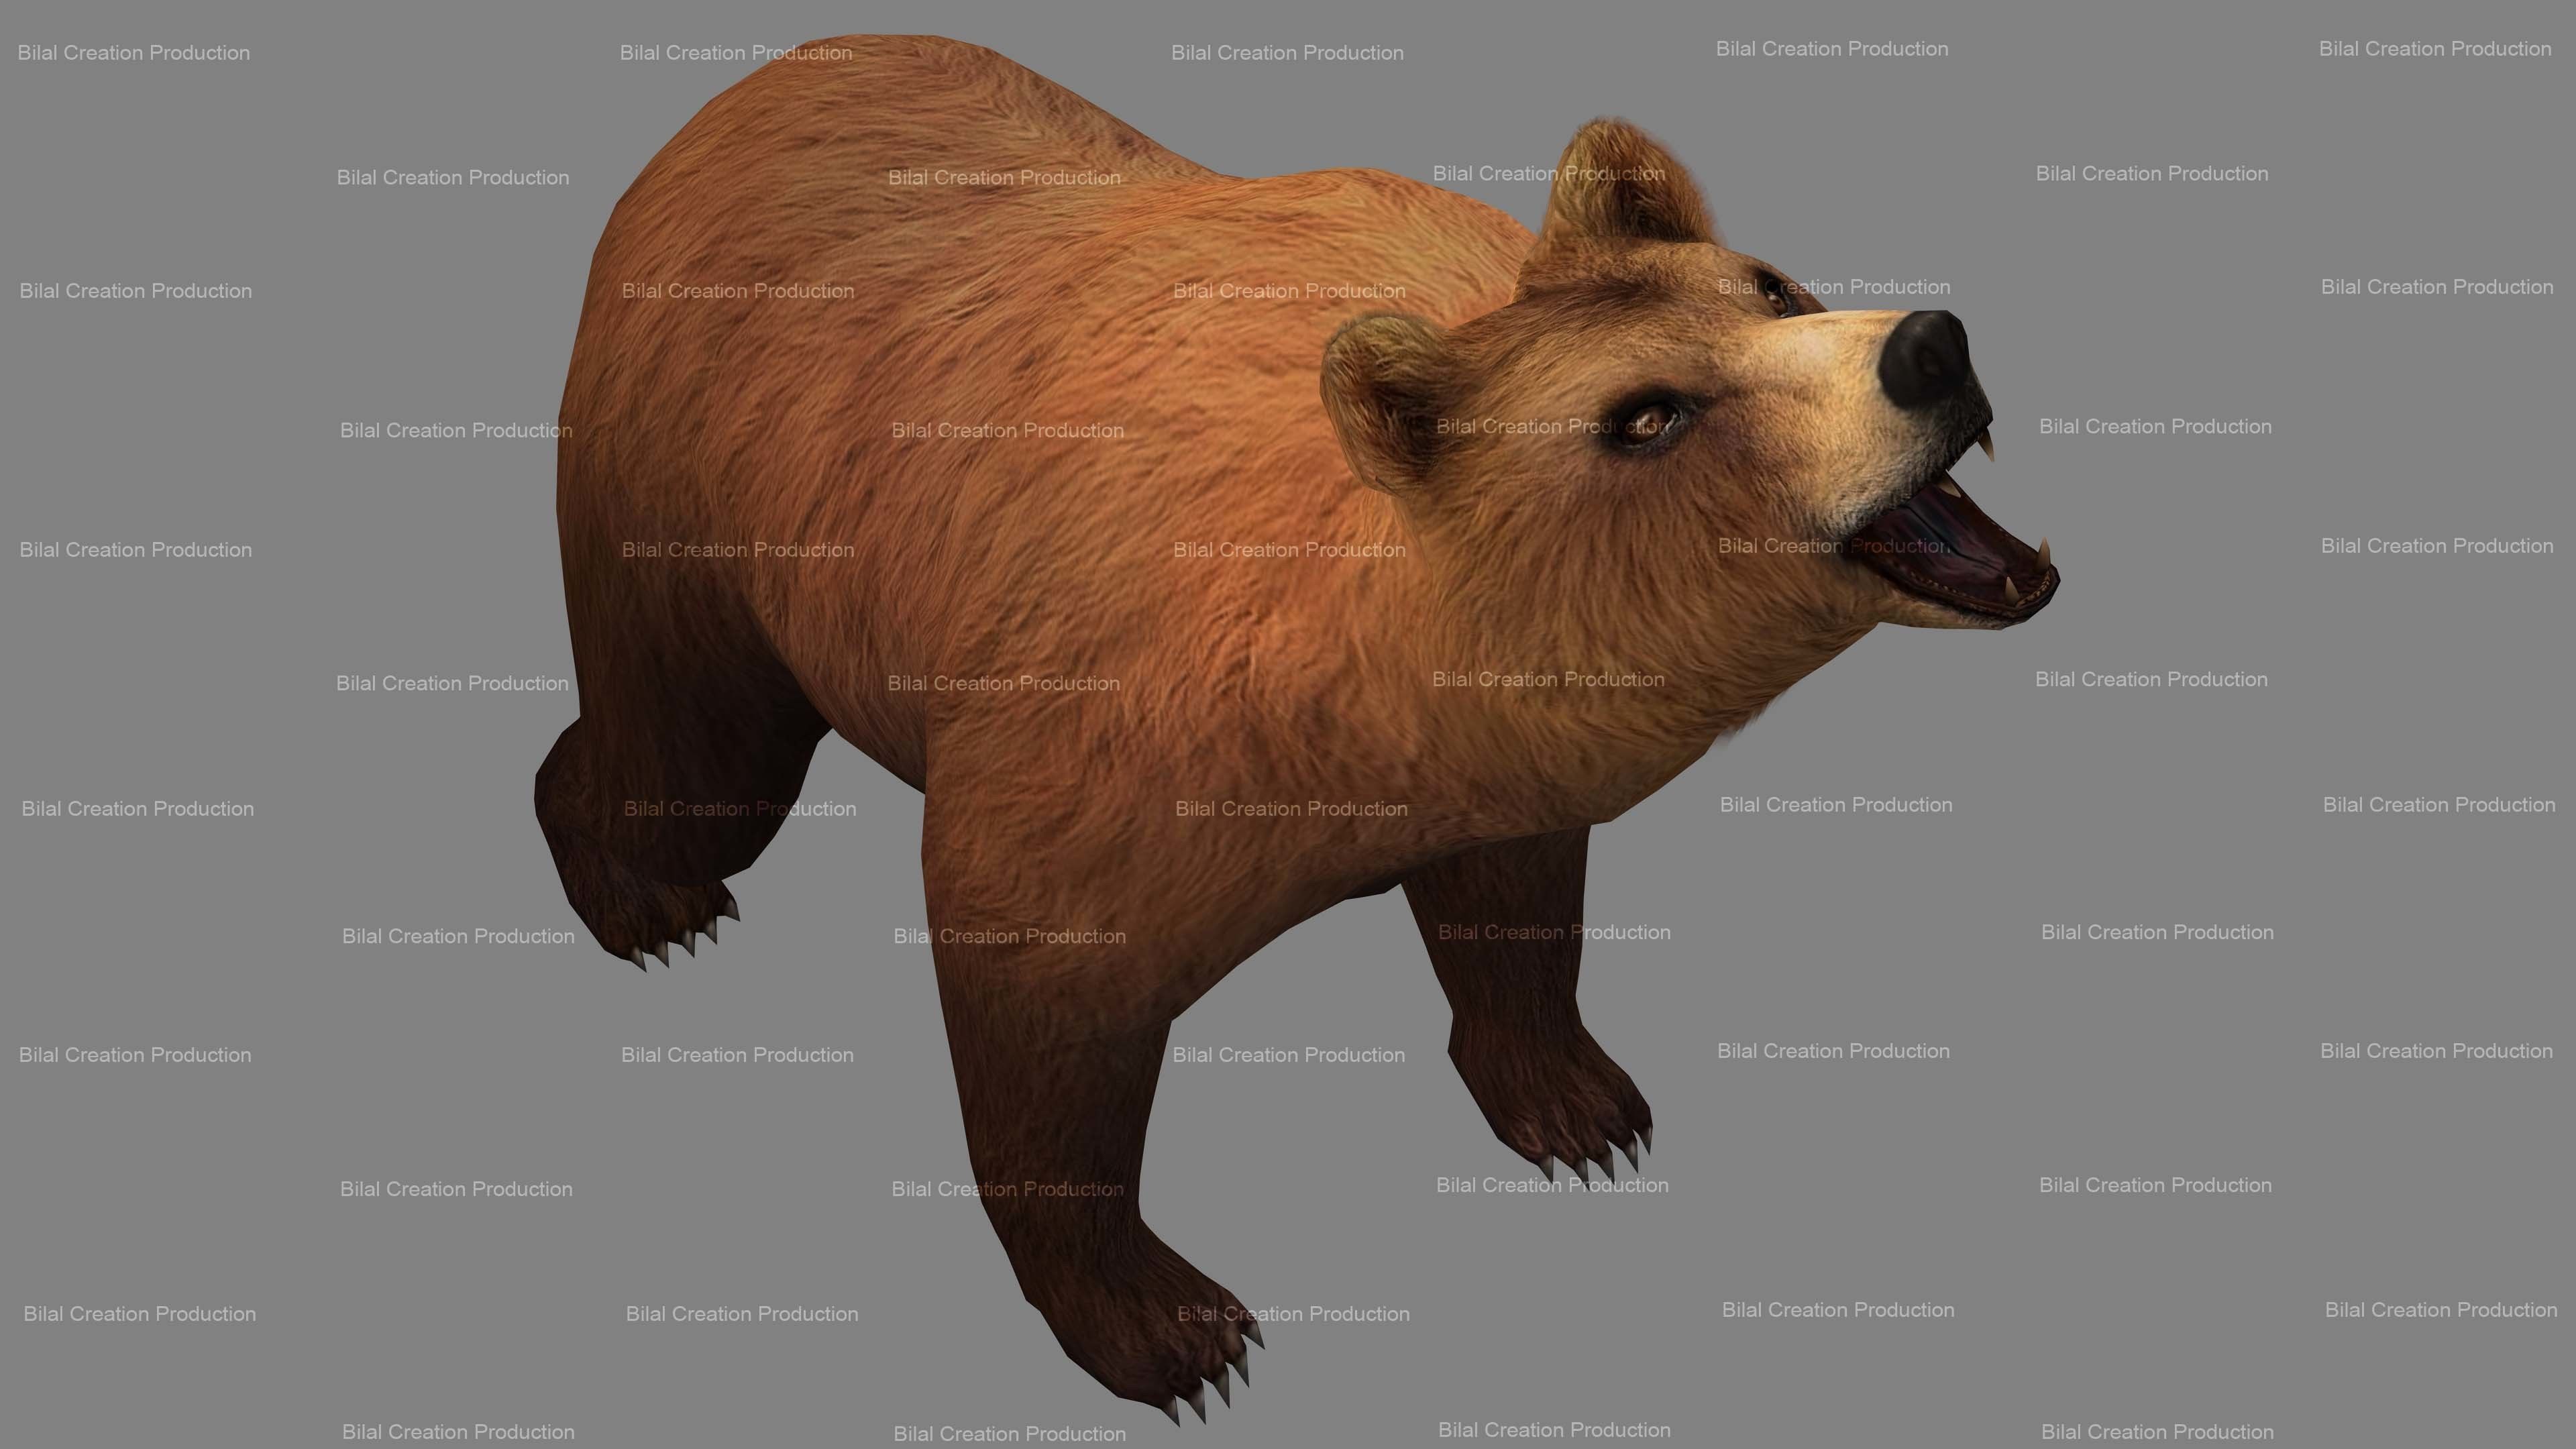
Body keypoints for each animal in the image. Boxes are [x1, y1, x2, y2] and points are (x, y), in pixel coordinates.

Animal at [536, 35, 2057, 1421]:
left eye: (1769, 285)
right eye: (1648, 415)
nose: (1930, 347)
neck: (1361, 689)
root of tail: (739, 94)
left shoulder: (1491, 758)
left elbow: (1516, 907)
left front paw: (1578, 1103)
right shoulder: (1096, 736)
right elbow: (1040, 995)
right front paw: (1170, 1327)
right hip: (702, 489)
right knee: (696, 750)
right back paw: (645, 890)